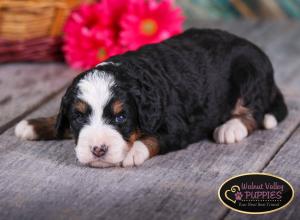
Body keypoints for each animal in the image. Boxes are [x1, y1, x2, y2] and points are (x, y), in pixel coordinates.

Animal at [14, 28, 288, 168]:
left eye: (121, 117)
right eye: (79, 117)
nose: (98, 150)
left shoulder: (178, 126)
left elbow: (154, 137)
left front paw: (132, 151)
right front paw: (33, 124)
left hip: (249, 73)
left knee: (254, 113)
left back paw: (231, 128)